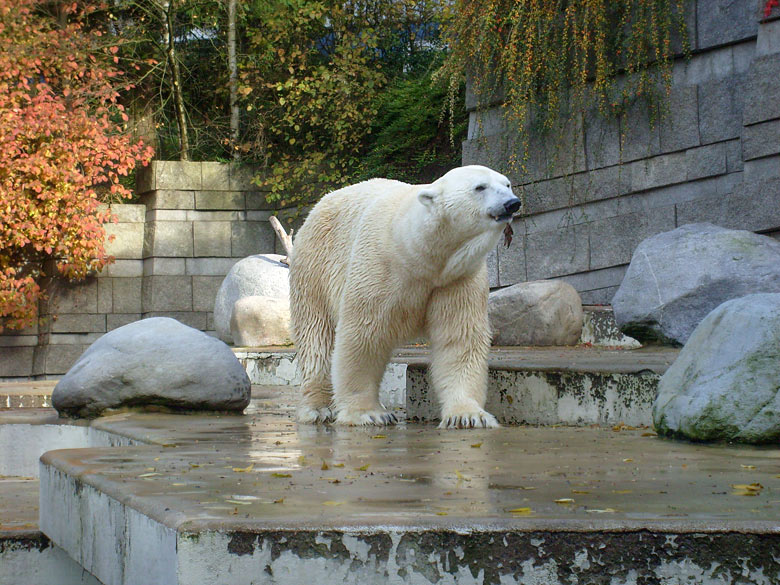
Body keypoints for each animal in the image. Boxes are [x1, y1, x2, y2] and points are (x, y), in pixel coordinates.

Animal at [290, 167, 520, 426]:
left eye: (507, 184)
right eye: (480, 187)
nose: (512, 203)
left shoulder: (457, 278)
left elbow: (459, 338)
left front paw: (467, 416)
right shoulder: (379, 267)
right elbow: (363, 335)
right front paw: (368, 413)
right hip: (314, 266)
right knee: (316, 338)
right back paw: (317, 409)